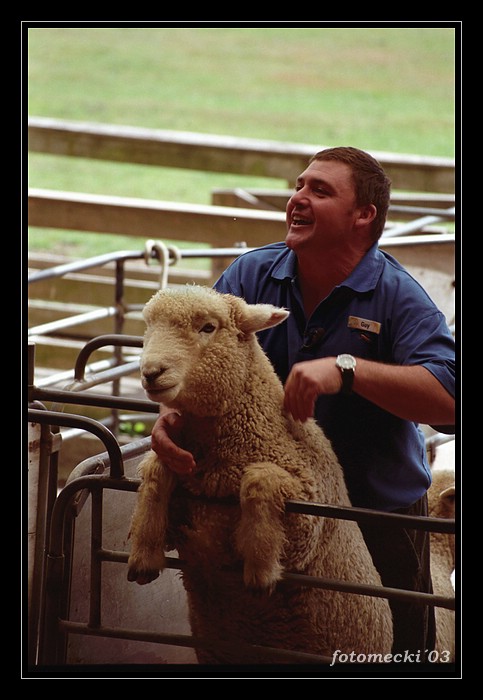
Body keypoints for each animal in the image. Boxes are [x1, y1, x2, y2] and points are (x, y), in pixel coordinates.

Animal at [125, 288, 394, 664]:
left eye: (208, 327)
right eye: (148, 325)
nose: (151, 372)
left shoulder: (305, 520)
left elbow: (259, 479)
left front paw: (260, 571)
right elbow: (156, 468)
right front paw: (144, 555)